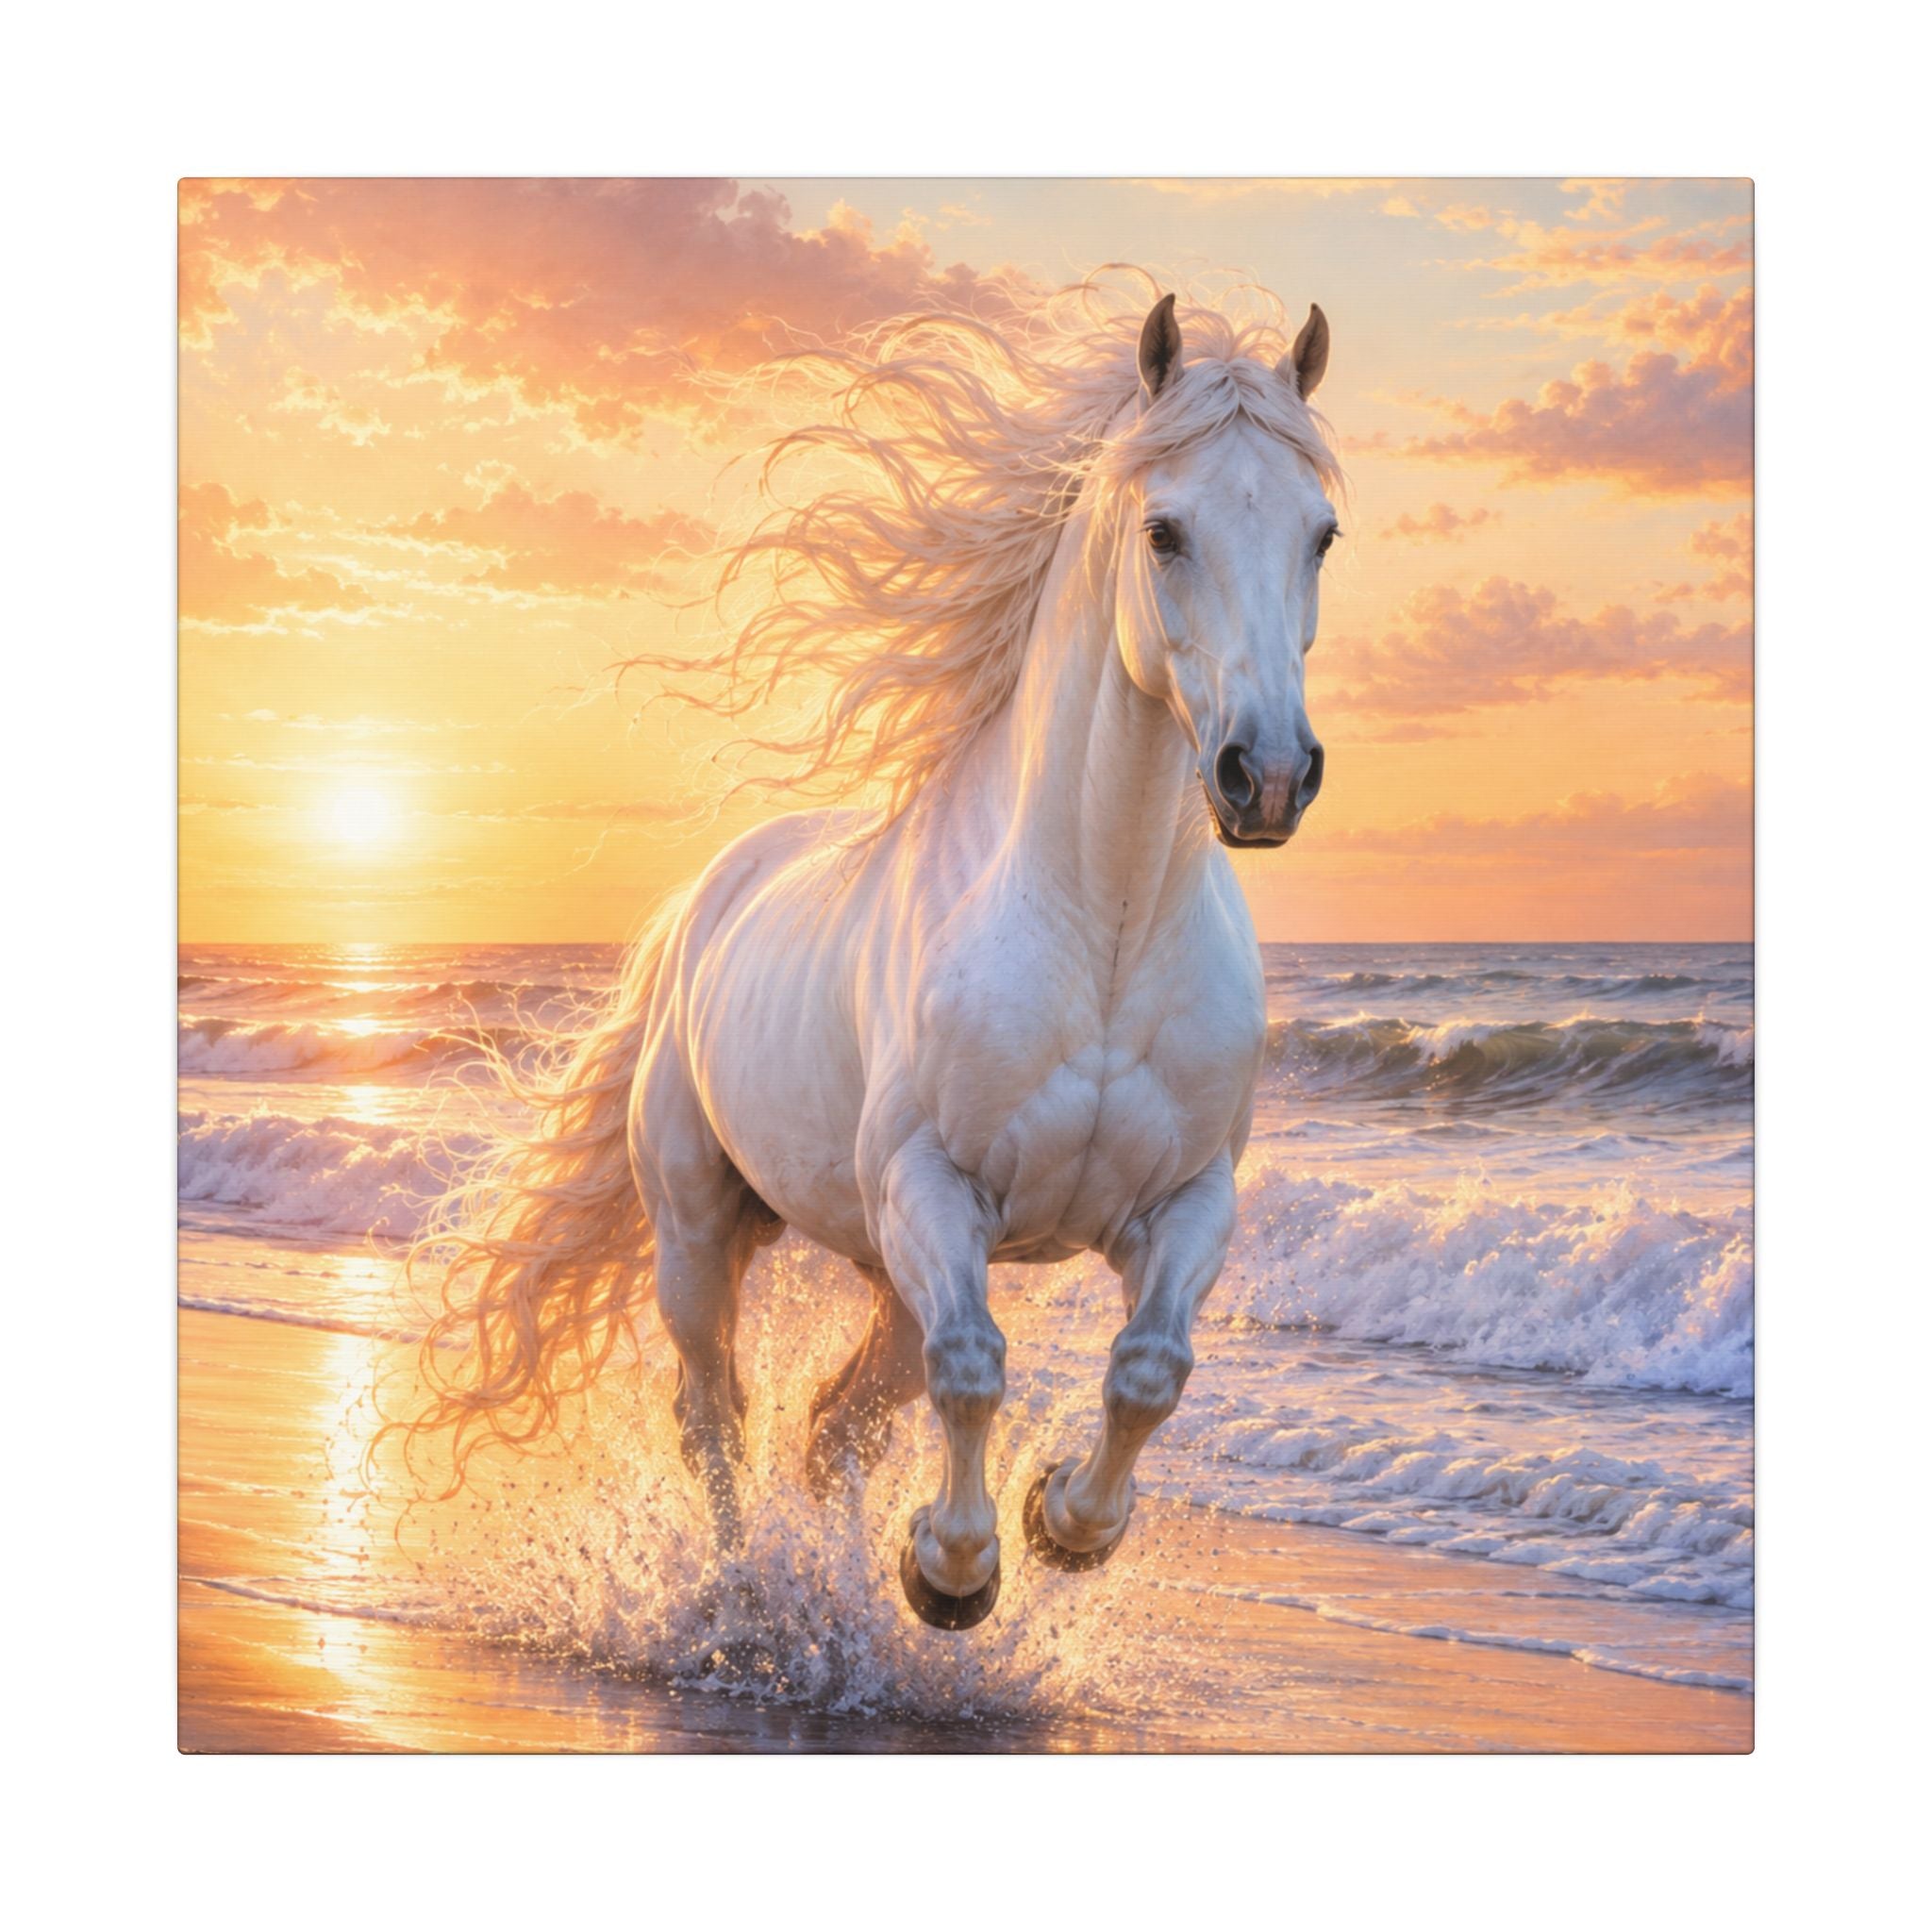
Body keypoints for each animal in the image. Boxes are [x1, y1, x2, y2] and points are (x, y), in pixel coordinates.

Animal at [409, 279, 1344, 1630]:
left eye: (1321, 534)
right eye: (1164, 530)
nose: (1265, 775)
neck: (1103, 933)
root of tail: (701, 900)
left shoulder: (1183, 1200)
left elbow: (1147, 1370)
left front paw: (1060, 1521)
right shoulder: (931, 1187)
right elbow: (971, 1373)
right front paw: (950, 1570)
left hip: (883, 1268)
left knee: (832, 1428)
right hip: (703, 1228)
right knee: (718, 1416)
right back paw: (746, 1594)